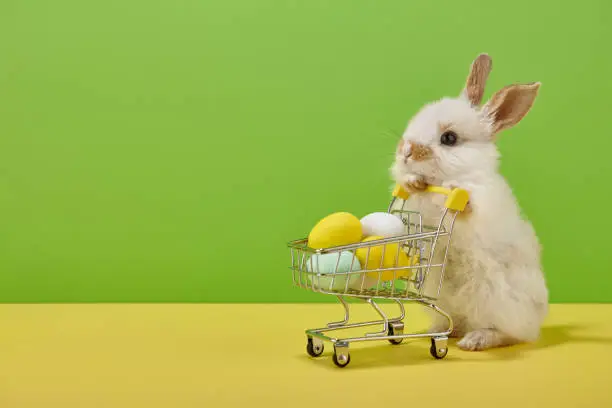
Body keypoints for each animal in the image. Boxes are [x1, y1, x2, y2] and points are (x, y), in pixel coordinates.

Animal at [392, 53, 548, 350]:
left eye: (449, 138)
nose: (405, 151)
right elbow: (412, 191)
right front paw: (412, 181)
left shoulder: (484, 203)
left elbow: (470, 207)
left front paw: (456, 192)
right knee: (454, 321)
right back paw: (440, 330)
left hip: (497, 301)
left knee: (508, 333)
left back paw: (475, 340)